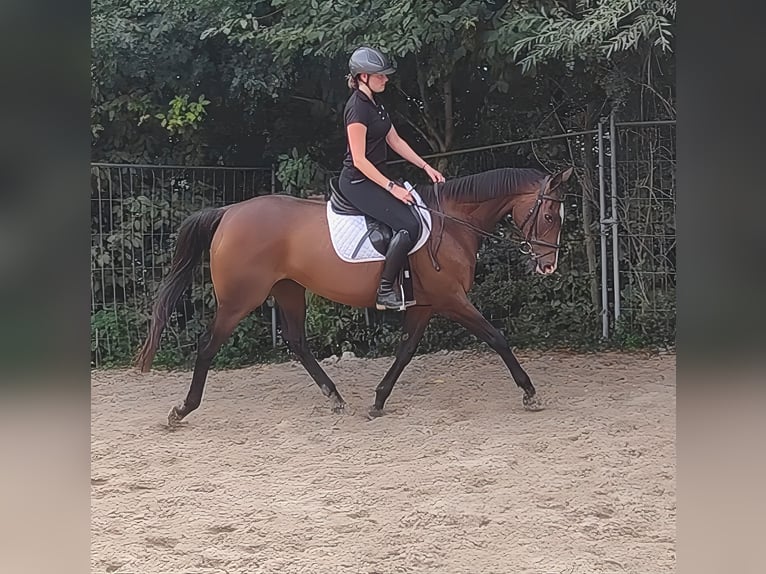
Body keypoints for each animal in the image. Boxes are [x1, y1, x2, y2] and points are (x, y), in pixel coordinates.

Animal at [136, 166, 573, 424]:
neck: (452, 222)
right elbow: (496, 337)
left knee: (297, 341)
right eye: (549, 215)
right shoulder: (451, 300)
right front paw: (530, 393)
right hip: (240, 299)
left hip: (288, 290)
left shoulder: (426, 305)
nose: (548, 267)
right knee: (208, 345)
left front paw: (378, 400)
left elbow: (405, 350)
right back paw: (183, 409)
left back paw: (334, 396)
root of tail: (229, 212)